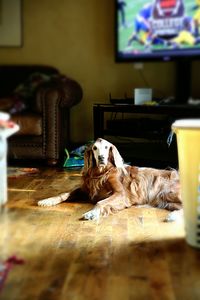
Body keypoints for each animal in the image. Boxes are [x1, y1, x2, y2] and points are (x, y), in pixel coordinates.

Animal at [38, 138, 183, 220]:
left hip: (169, 193)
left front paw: (92, 213)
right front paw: (47, 200)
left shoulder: (121, 193)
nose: (101, 157)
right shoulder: (85, 189)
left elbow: (100, 202)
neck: (100, 173)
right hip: (166, 199)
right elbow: (64, 194)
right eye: (95, 148)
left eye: (107, 147)